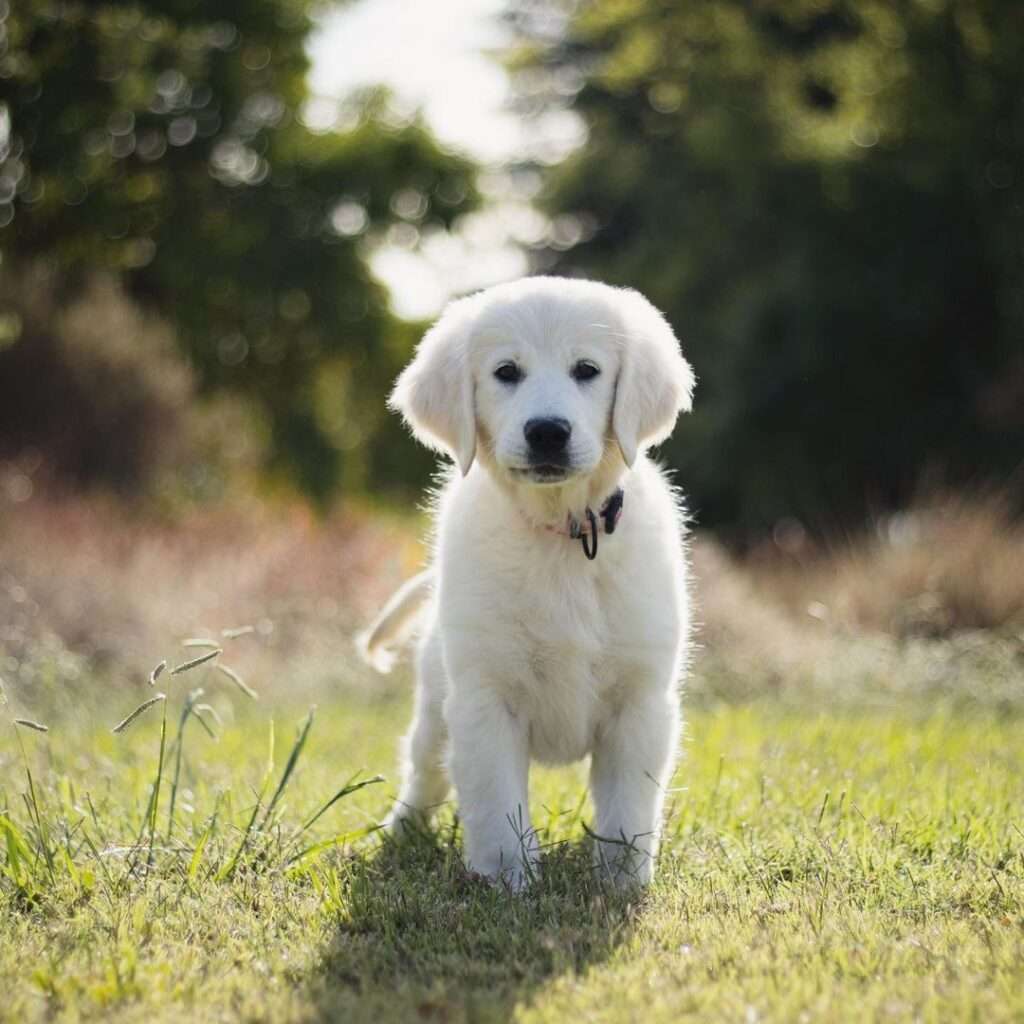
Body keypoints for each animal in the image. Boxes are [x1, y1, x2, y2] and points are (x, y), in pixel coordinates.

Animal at [360, 274, 696, 888]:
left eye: (586, 370)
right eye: (506, 372)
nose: (546, 432)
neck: (560, 533)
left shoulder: (639, 701)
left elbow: (627, 809)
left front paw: (622, 886)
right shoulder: (484, 697)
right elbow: (497, 806)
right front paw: (509, 883)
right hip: (435, 706)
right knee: (424, 771)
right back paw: (401, 832)